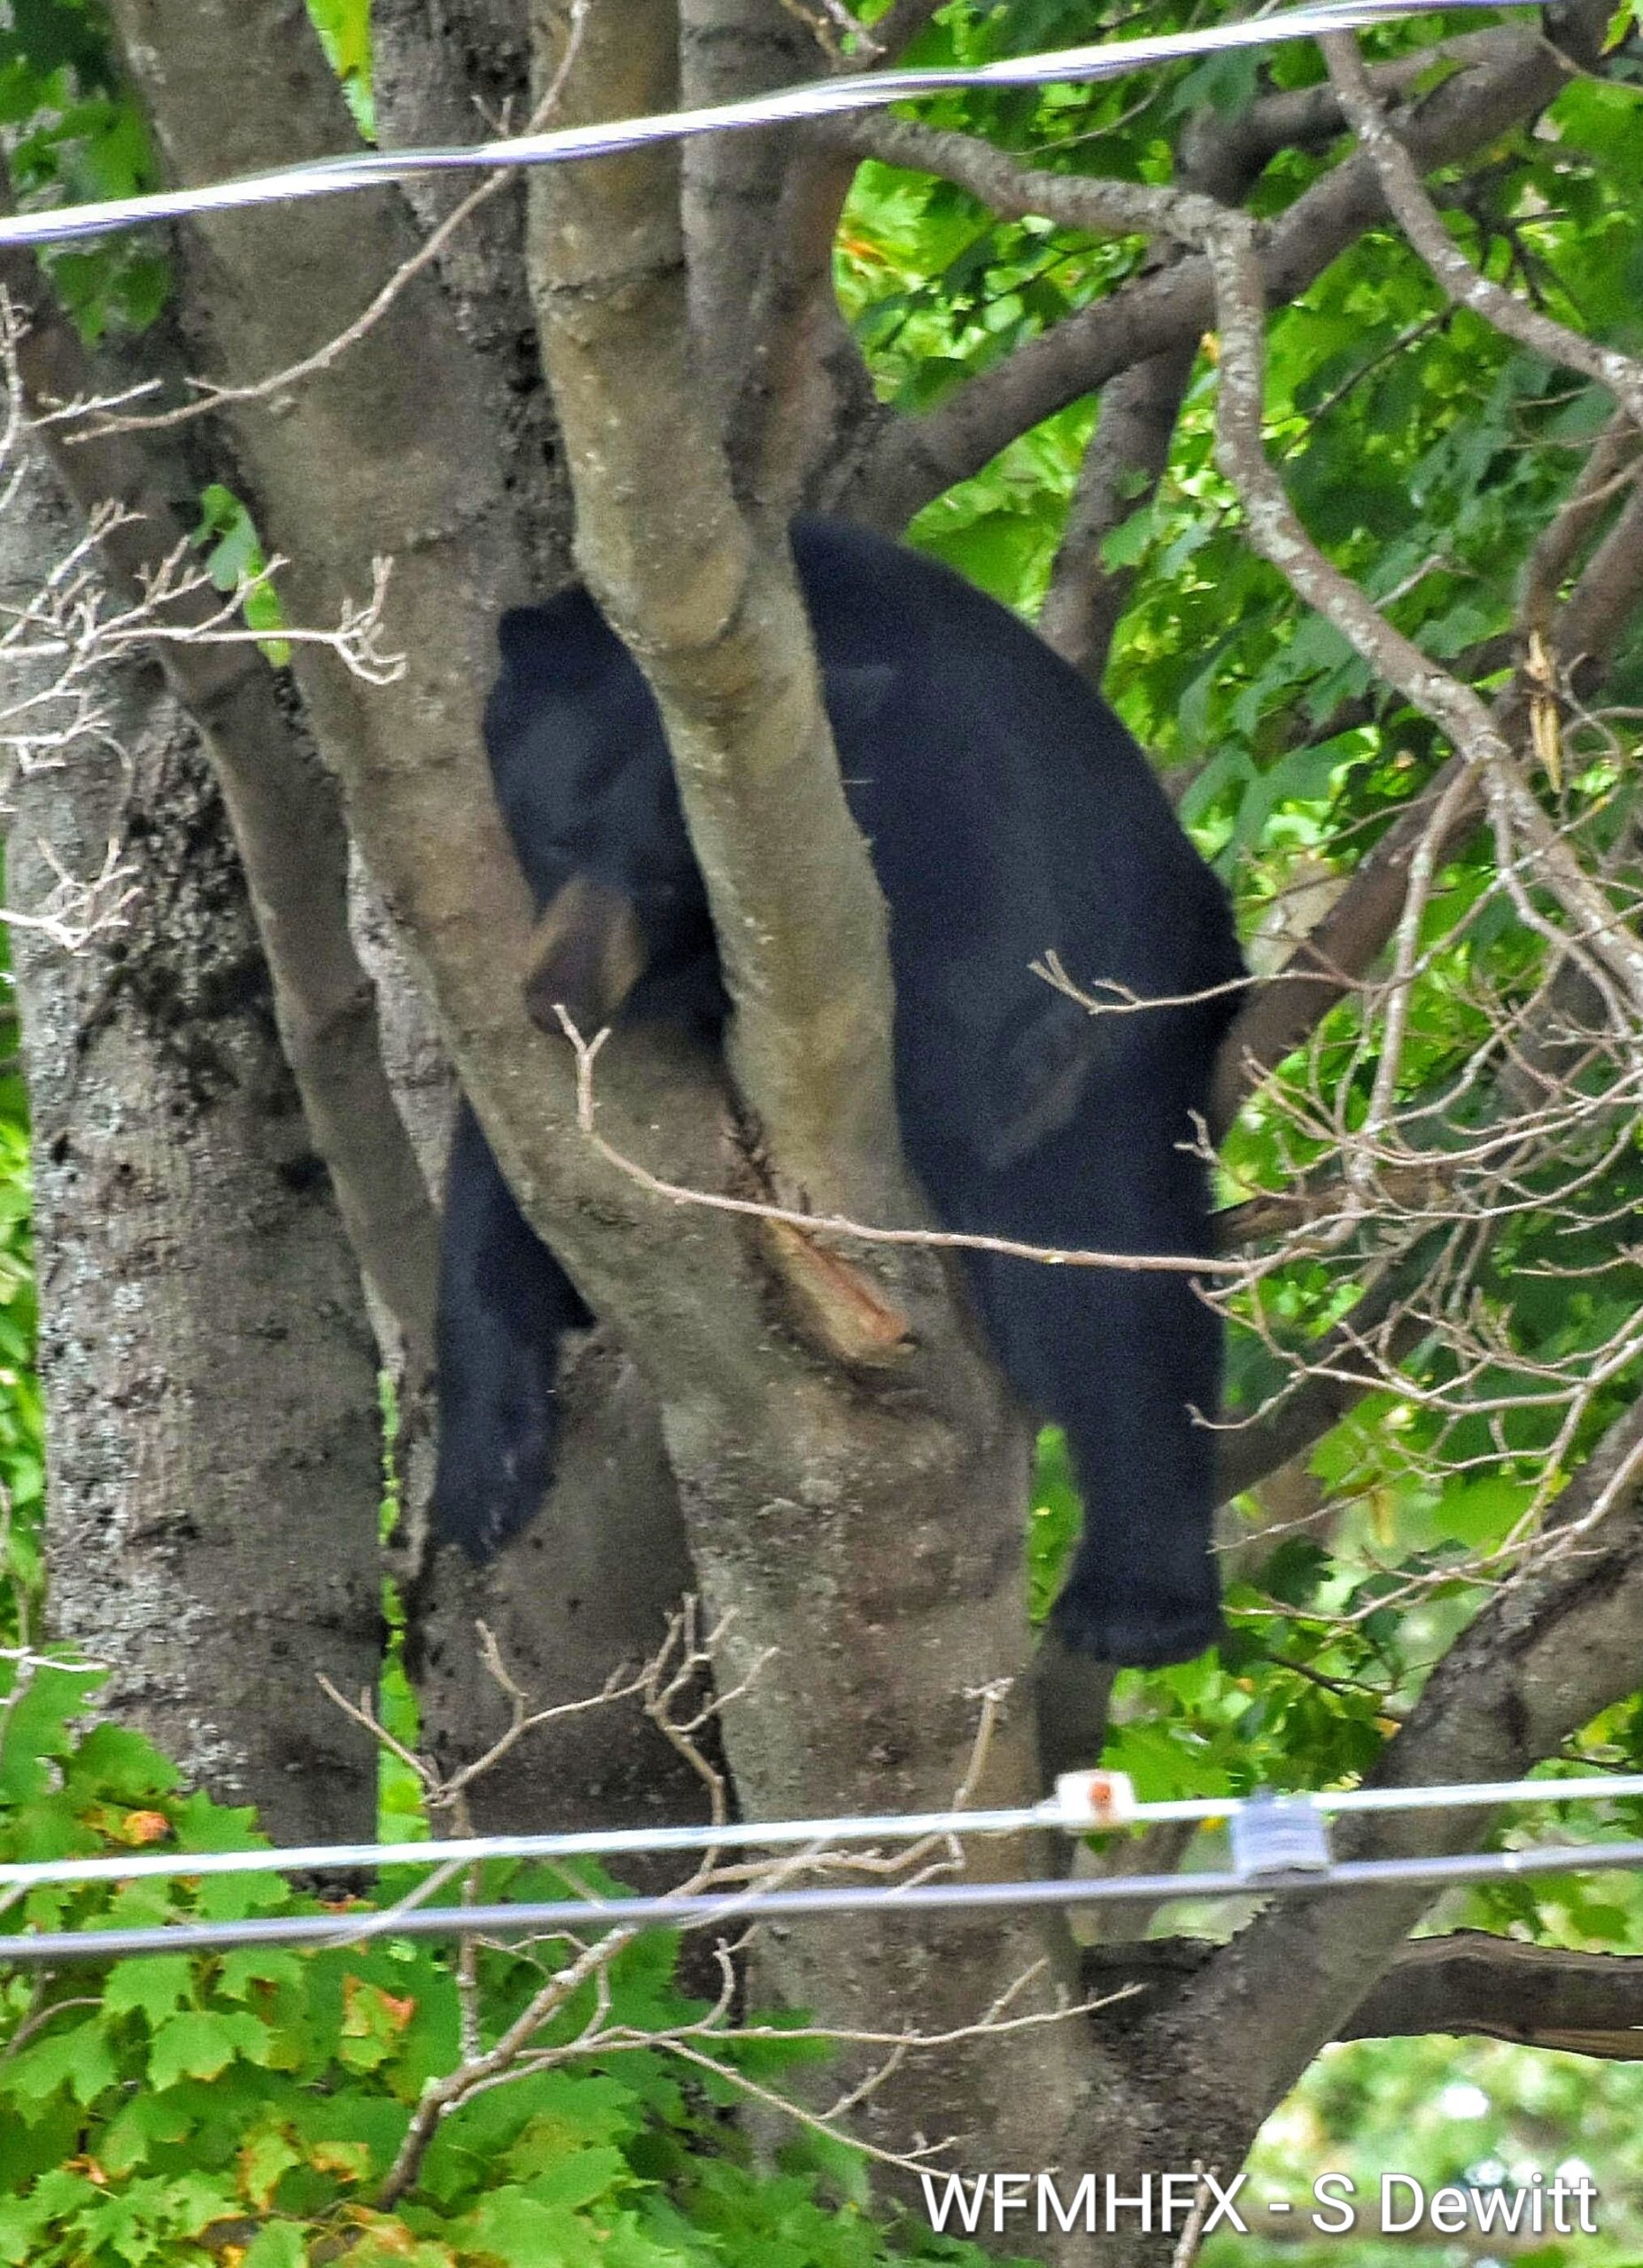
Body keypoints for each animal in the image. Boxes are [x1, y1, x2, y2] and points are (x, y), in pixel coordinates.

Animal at [433, 516, 1245, 1668]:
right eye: (552, 832)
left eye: (672, 876)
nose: (557, 996)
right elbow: (511, 1166)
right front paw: (483, 1470)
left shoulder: (959, 798)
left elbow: (972, 1003)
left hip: (1148, 1029)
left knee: (1114, 1273)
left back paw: (1136, 1600)